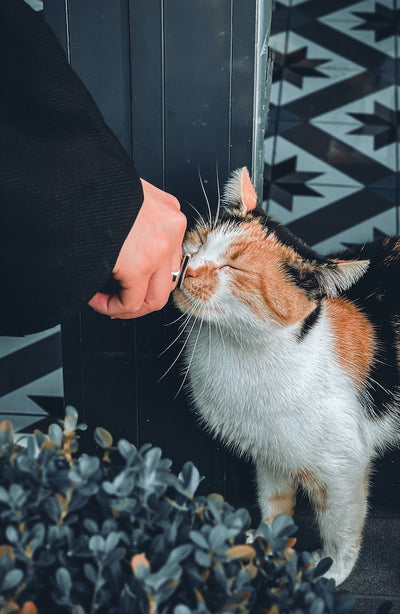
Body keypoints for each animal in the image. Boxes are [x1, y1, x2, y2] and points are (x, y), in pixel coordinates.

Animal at [172, 167, 400, 588]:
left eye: (233, 268)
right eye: (199, 240)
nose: (188, 266)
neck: (238, 348)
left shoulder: (343, 466)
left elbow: (341, 525)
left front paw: (329, 571)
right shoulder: (270, 450)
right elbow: (274, 501)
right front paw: (266, 539)